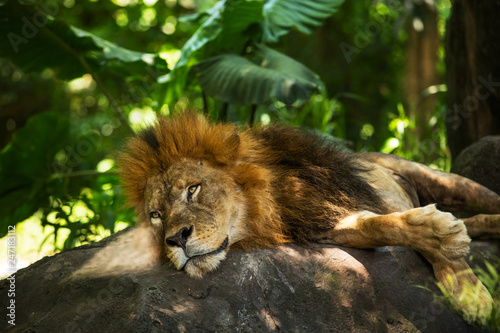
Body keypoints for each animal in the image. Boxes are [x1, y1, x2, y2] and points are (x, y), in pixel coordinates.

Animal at [120, 111, 500, 322]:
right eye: (156, 215)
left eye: (193, 189)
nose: (175, 239)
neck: (271, 204)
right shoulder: (326, 223)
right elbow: (380, 226)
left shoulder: (365, 197)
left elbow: (423, 234)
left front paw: (469, 292)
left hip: (442, 179)